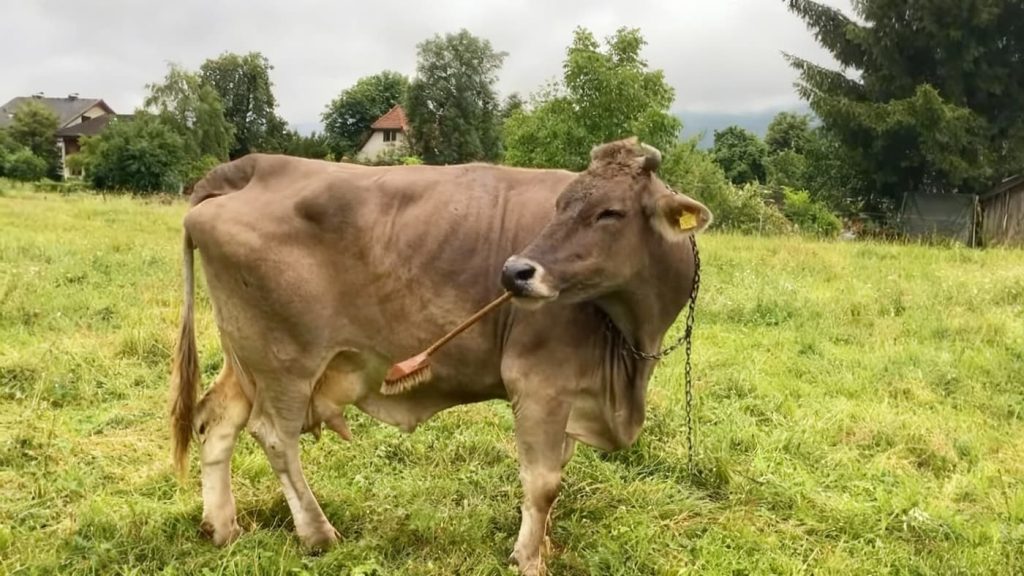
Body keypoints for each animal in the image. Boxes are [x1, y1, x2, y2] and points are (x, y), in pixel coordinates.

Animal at [169, 137, 712, 575]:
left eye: (610, 212)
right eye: (560, 206)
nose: (514, 272)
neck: (631, 350)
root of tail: (255, 165)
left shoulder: (571, 392)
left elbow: (555, 472)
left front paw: (543, 545)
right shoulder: (539, 383)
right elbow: (542, 483)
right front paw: (528, 559)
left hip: (245, 357)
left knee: (216, 420)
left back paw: (222, 528)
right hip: (283, 360)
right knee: (274, 437)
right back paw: (318, 534)